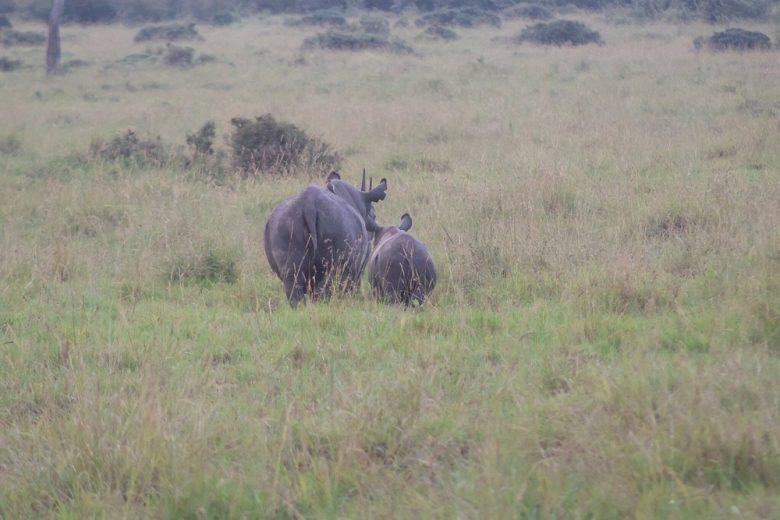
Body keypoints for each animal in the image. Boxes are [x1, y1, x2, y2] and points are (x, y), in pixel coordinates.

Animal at [264, 171, 388, 306]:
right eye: (374, 215)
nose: (372, 234)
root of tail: (309, 204)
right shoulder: (356, 272)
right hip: (337, 226)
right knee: (324, 287)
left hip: (284, 224)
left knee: (293, 282)